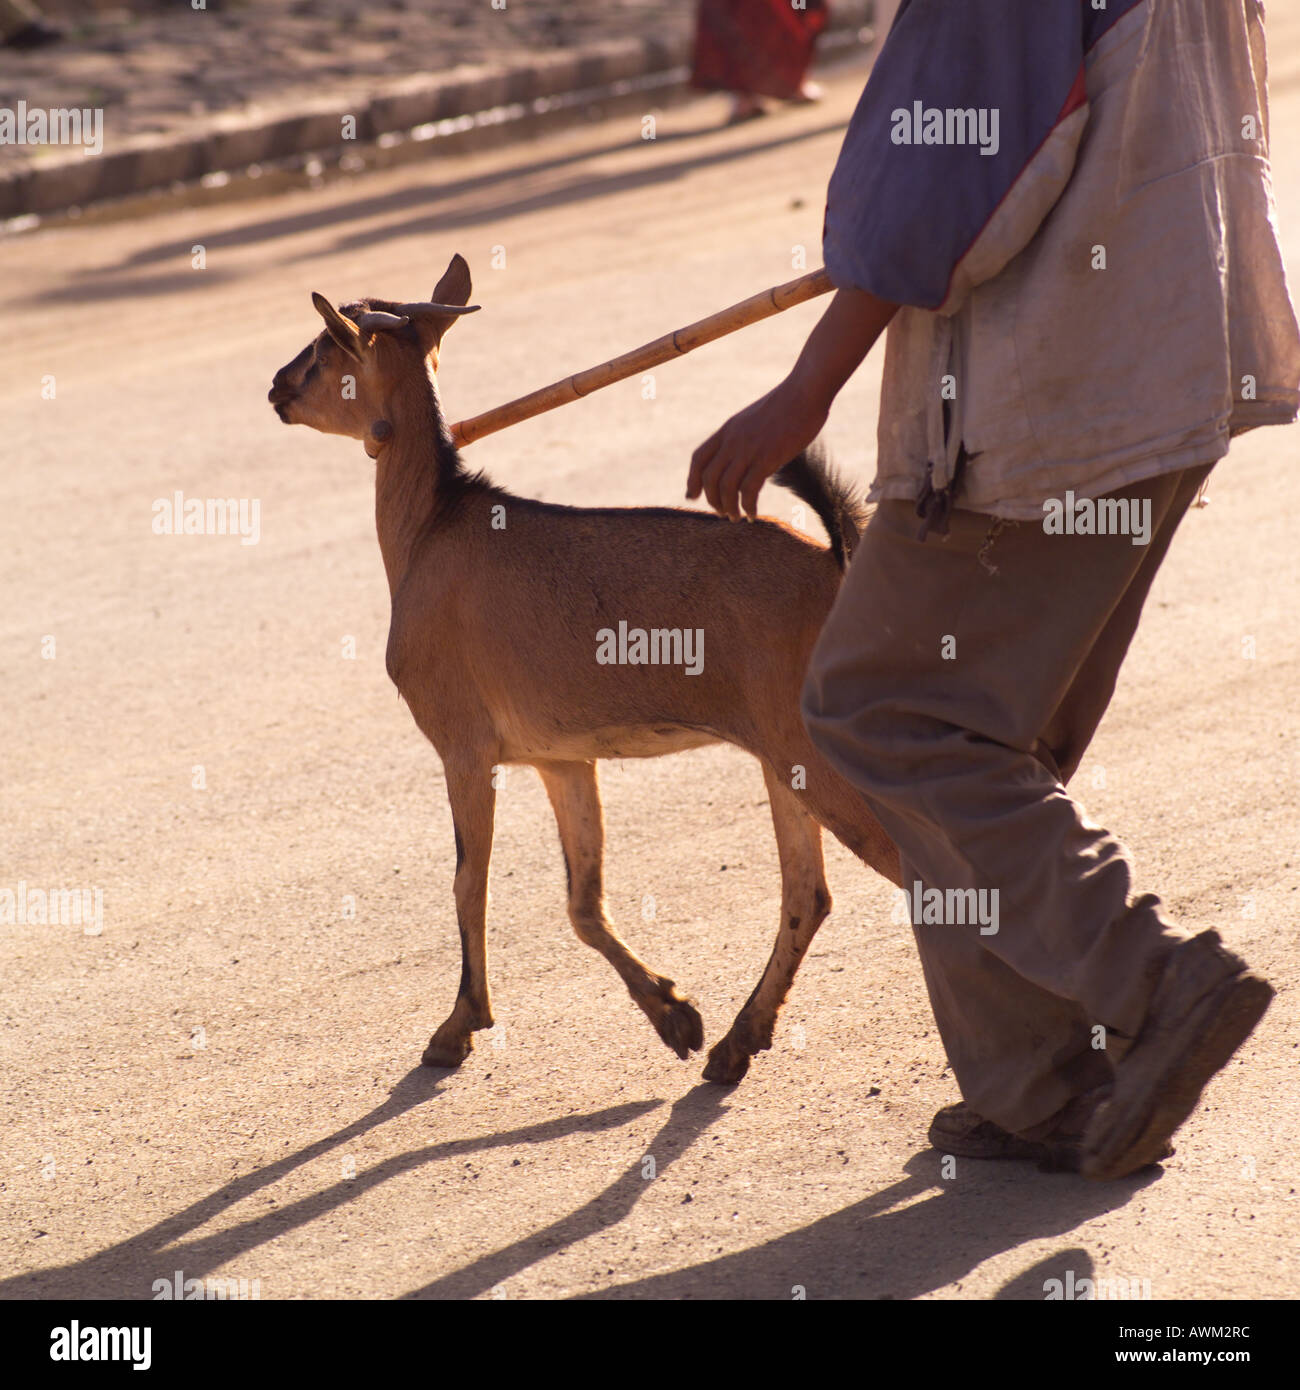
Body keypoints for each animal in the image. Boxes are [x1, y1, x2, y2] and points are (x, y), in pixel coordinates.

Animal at [268, 253, 901, 1084]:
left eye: (322, 346)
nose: (275, 387)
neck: (432, 527)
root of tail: (835, 559)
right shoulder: (561, 756)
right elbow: (583, 901)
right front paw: (675, 1015)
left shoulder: (463, 745)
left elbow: (468, 882)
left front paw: (458, 1026)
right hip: (781, 749)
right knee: (809, 891)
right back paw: (736, 1041)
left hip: (817, 743)